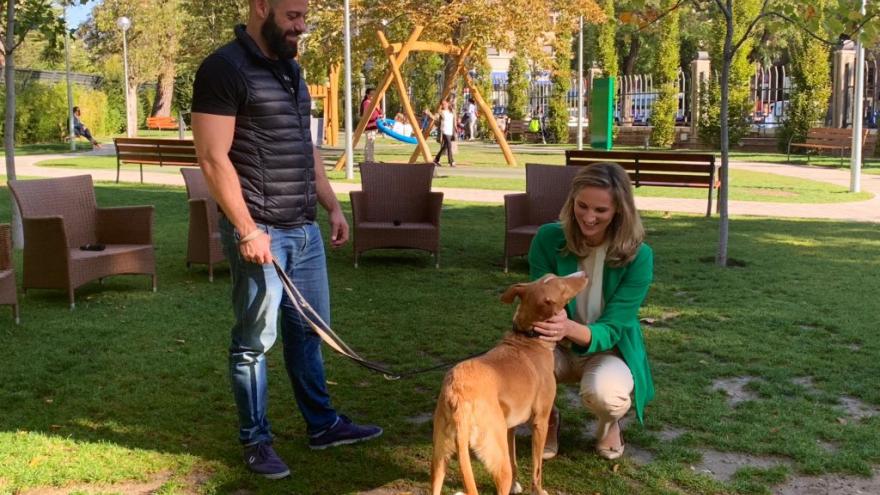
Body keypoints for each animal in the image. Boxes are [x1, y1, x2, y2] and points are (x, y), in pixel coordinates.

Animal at [432, 274, 588, 495]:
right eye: (563, 285)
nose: (583, 274)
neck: (528, 338)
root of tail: (458, 397)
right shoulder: (540, 422)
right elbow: (537, 468)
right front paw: (538, 490)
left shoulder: (509, 427)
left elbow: (515, 461)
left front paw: (516, 485)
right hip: (497, 461)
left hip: (439, 460)